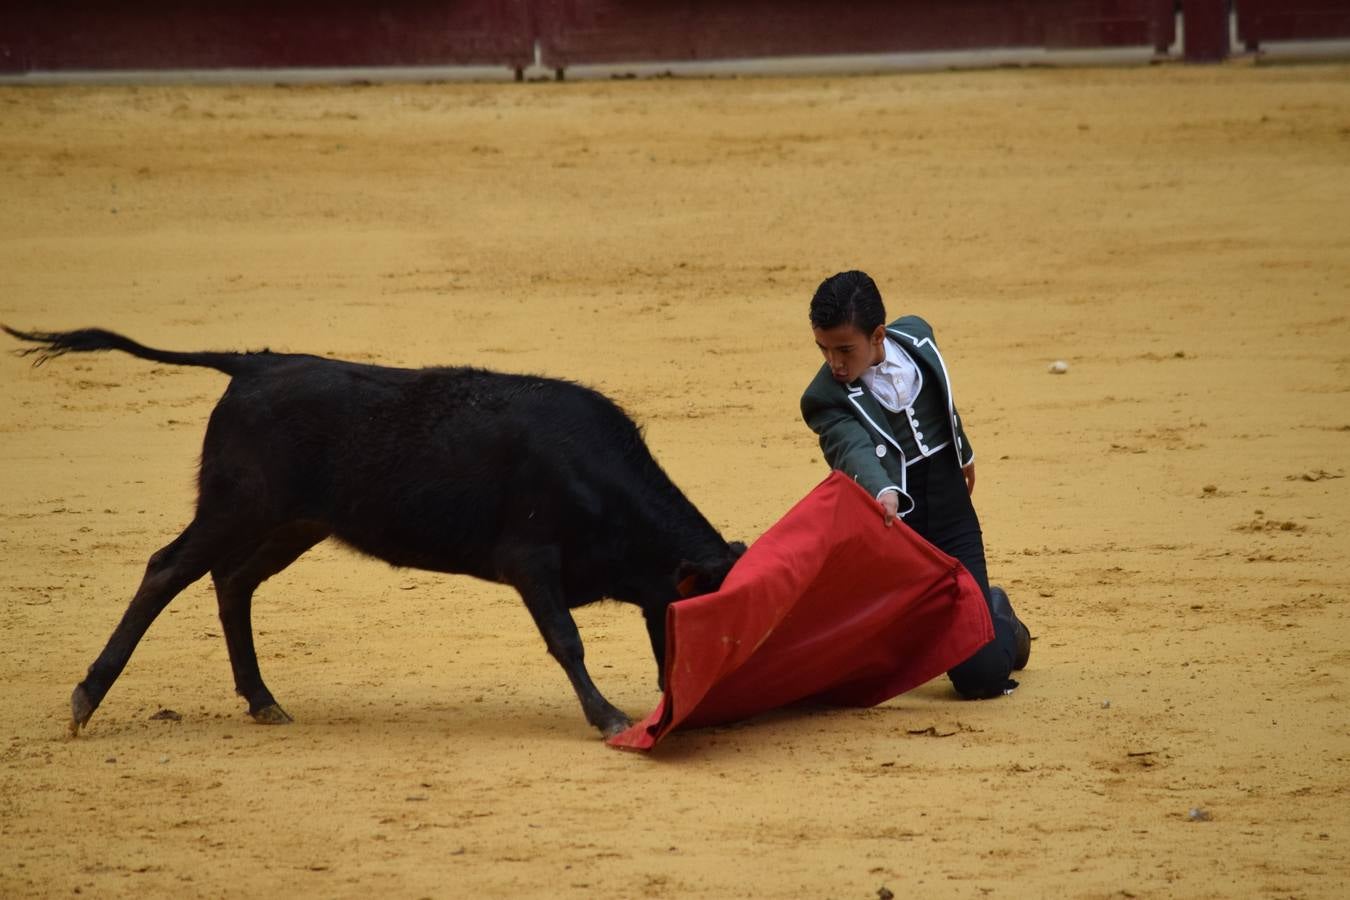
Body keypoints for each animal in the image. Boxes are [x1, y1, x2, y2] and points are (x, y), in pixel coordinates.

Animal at [5, 327, 745, 734]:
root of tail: (255, 363)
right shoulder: (530, 560)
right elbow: (566, 640)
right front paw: (608, 716)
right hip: (236, 508)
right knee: (167, 569)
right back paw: (85, 699)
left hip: (291, 524)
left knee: (234, 581)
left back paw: (264, 701)